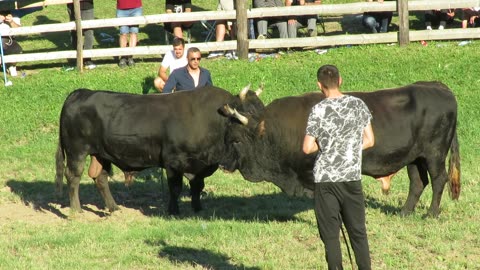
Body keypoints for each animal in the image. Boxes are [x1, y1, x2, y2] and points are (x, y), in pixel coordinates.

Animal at [55, 85, 262, 214]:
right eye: (249, 111)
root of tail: (79, 93)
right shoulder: (173, 162)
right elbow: (176, 188)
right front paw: (174, 211)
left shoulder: (200, 165)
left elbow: (197, 186)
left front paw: (197, 208)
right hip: (76, 152)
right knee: (72, 176)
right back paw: (76, 209)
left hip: (101, 154)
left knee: (101, 178)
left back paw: (113, 207)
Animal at [222, 80, 462, 217]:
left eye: (235, 139)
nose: (223, 164)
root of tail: (437, 86)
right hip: (414, 157)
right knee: (418, 182)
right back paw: (404, 212)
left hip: (434, 154)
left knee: (439, 179)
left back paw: (431, 214)